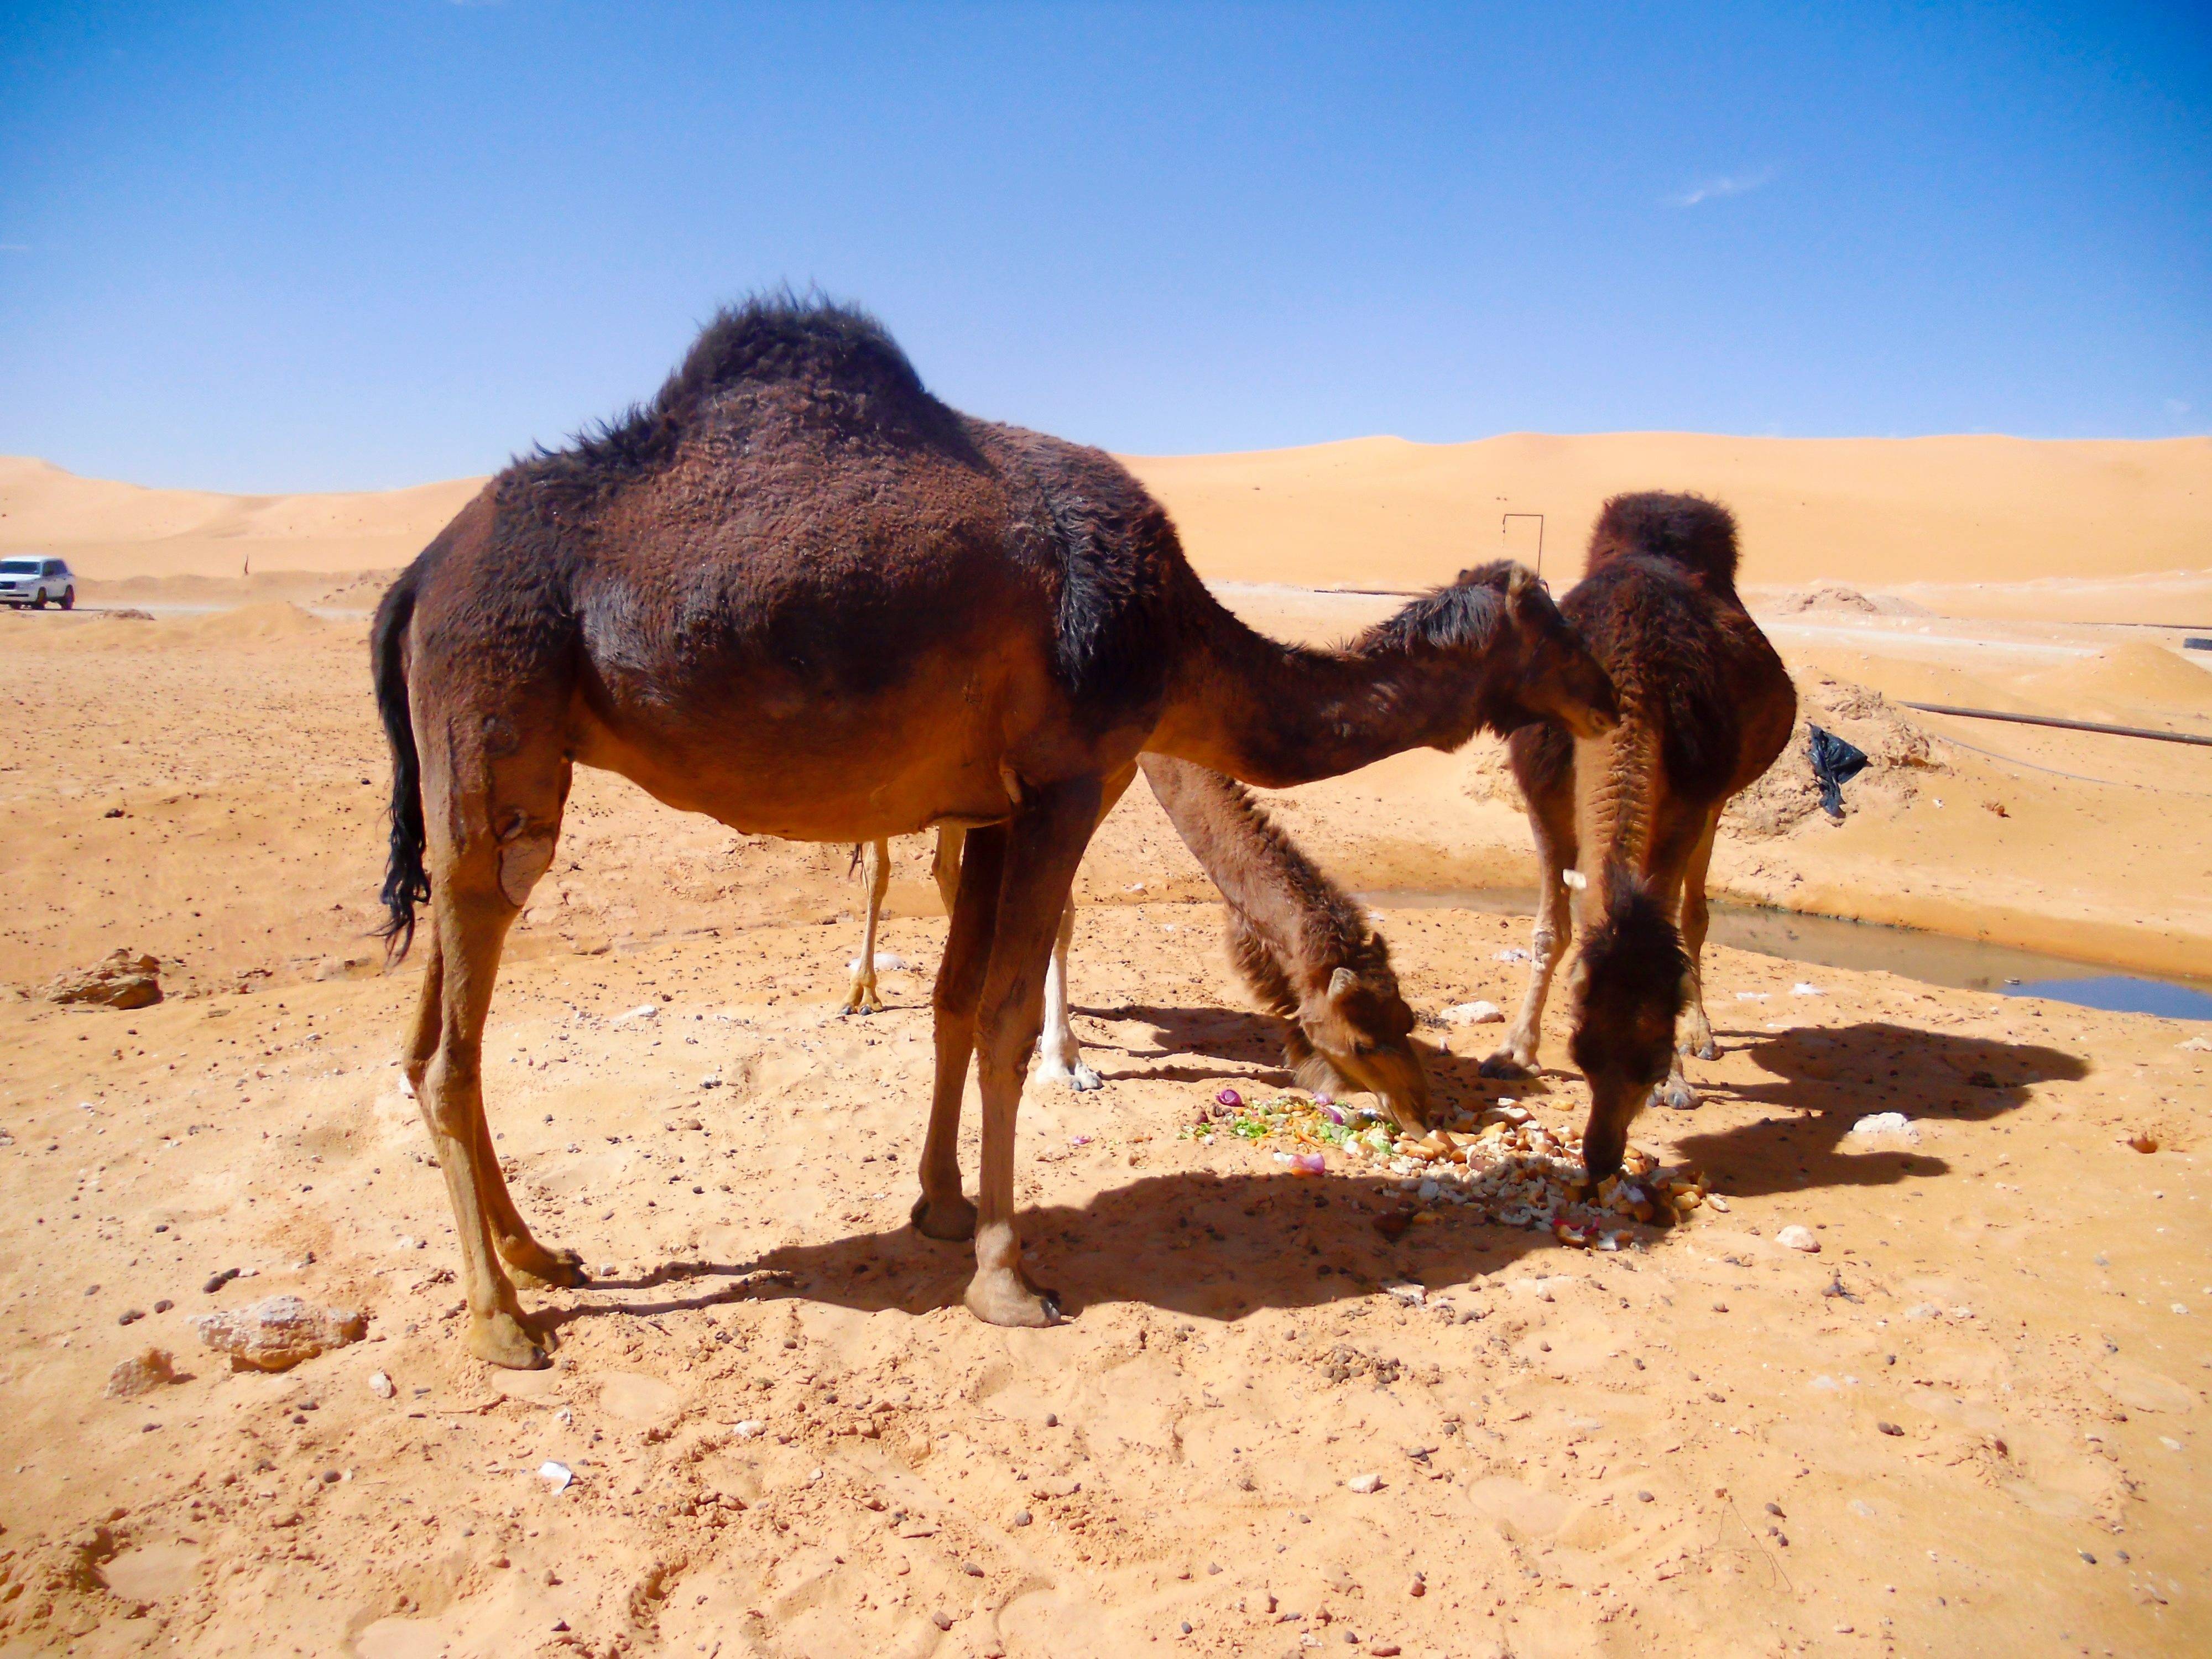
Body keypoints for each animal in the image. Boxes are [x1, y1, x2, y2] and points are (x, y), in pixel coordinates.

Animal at [845, 752, 1433, 1119]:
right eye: (1359, 1042)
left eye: (1408, 1018)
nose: (1419, 1111)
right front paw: (1063, 1062)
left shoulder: (1112, 770)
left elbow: (1059, 913)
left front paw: (1061, 1050)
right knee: (880, 861)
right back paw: (865, 993)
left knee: (944, 864)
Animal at [1478, 487, 1787, 1186]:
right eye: (1582, 1050)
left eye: (1650, 1059)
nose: (1600, 1157)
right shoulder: (1543, 794)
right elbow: (1550, 930)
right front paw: (1514, 1051)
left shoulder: (1689, 798)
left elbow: (1670, 920)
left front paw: (1681, 1075)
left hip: (1719, 795)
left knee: (1696, 909)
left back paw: (1705, 1034)